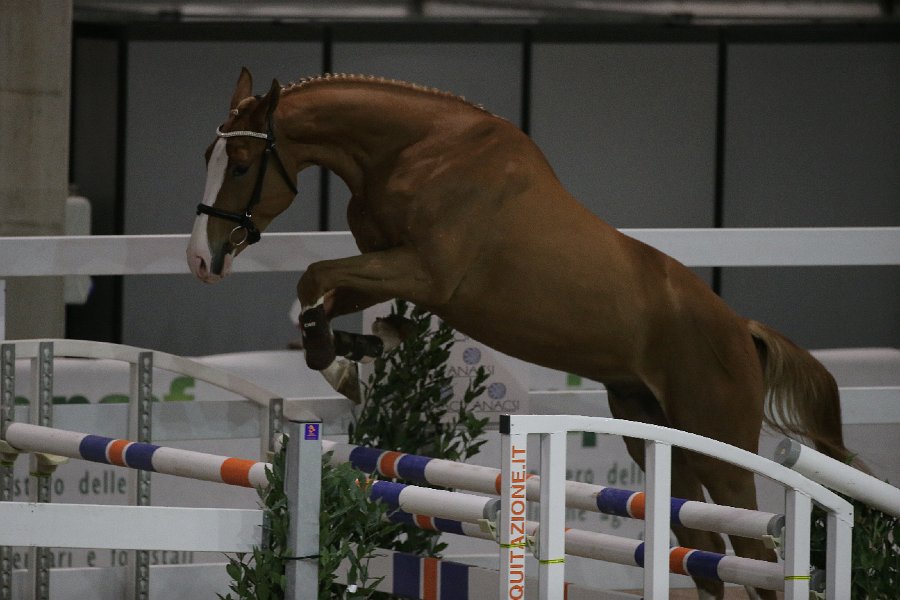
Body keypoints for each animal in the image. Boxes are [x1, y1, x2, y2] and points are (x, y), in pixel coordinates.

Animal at [188, 68, 860, 600]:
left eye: (241, 166)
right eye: (208, 160)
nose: (201, 259)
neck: (417, 151)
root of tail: (742, 330)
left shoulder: (426, 271)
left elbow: (314, 277)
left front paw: (338, 358)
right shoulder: (390, 264)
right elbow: (325, 294)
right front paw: (365, 349)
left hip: (718, 448)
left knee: (757, 558)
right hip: (655, 434)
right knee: (705, 554)